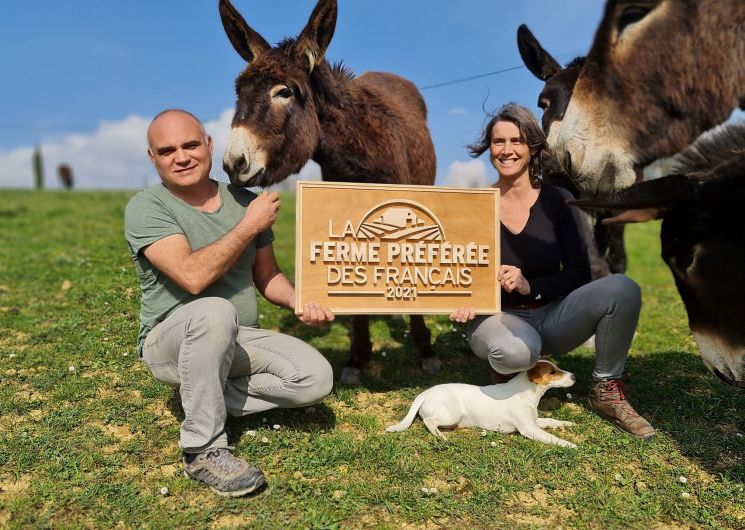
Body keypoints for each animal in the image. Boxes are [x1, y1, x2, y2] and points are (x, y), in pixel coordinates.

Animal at [386, 358, 580, 446]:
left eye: (557, 367)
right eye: (552, 372)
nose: (574, 376)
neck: (528, 394)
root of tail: (426, 393)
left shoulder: (534, 421)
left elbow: (551, 421)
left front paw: (567, 423)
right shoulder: (528, 429)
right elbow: (551, 437)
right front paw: (569, 444)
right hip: (451, 413)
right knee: (429, 421)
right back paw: (441, 436)